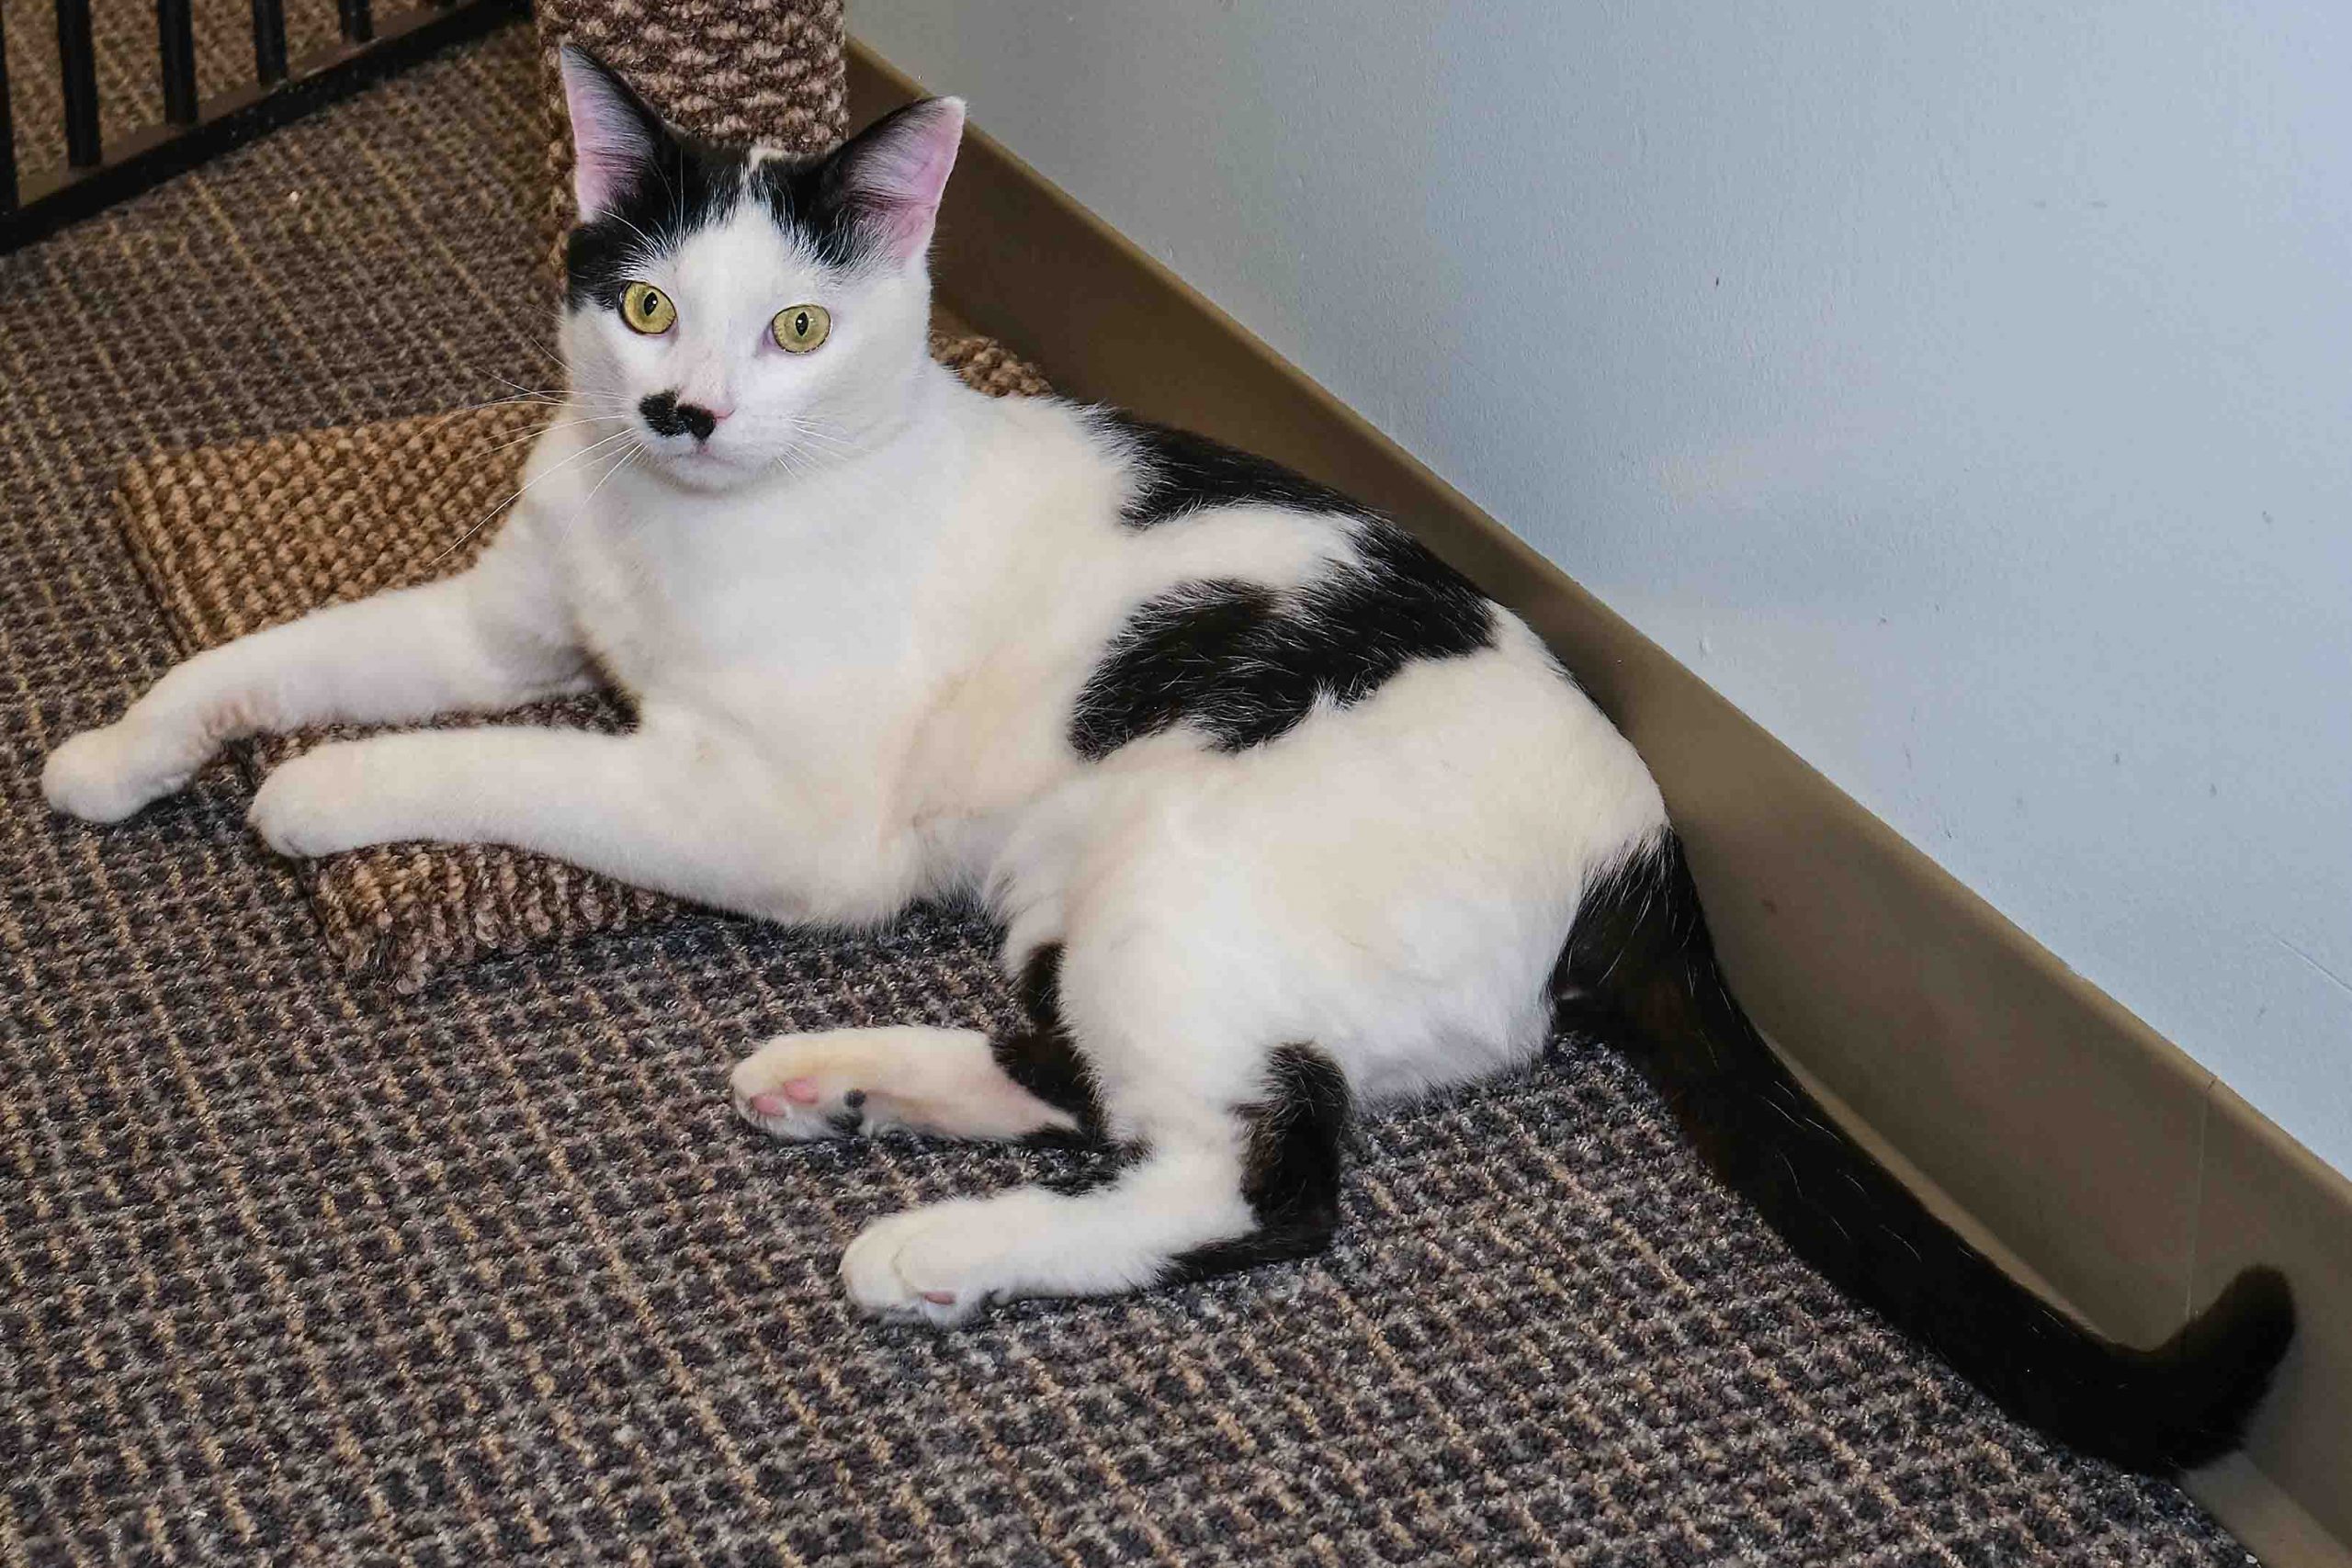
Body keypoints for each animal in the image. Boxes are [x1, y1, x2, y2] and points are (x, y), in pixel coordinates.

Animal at [45, 42, 2286, 1476]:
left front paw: (316, 798)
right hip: (1088, 892)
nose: (683, 412)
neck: (674, 528)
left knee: (1253, 1177)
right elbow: (287, 655)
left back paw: (929, 1247)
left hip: (1184, 876)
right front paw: (117, 748)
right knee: (1085, 1074)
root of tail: (1652, 854)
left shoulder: (769, 820)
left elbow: (504, 763)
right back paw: (841, 1084)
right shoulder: (505, 615)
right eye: (650, 305)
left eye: (797, 332)